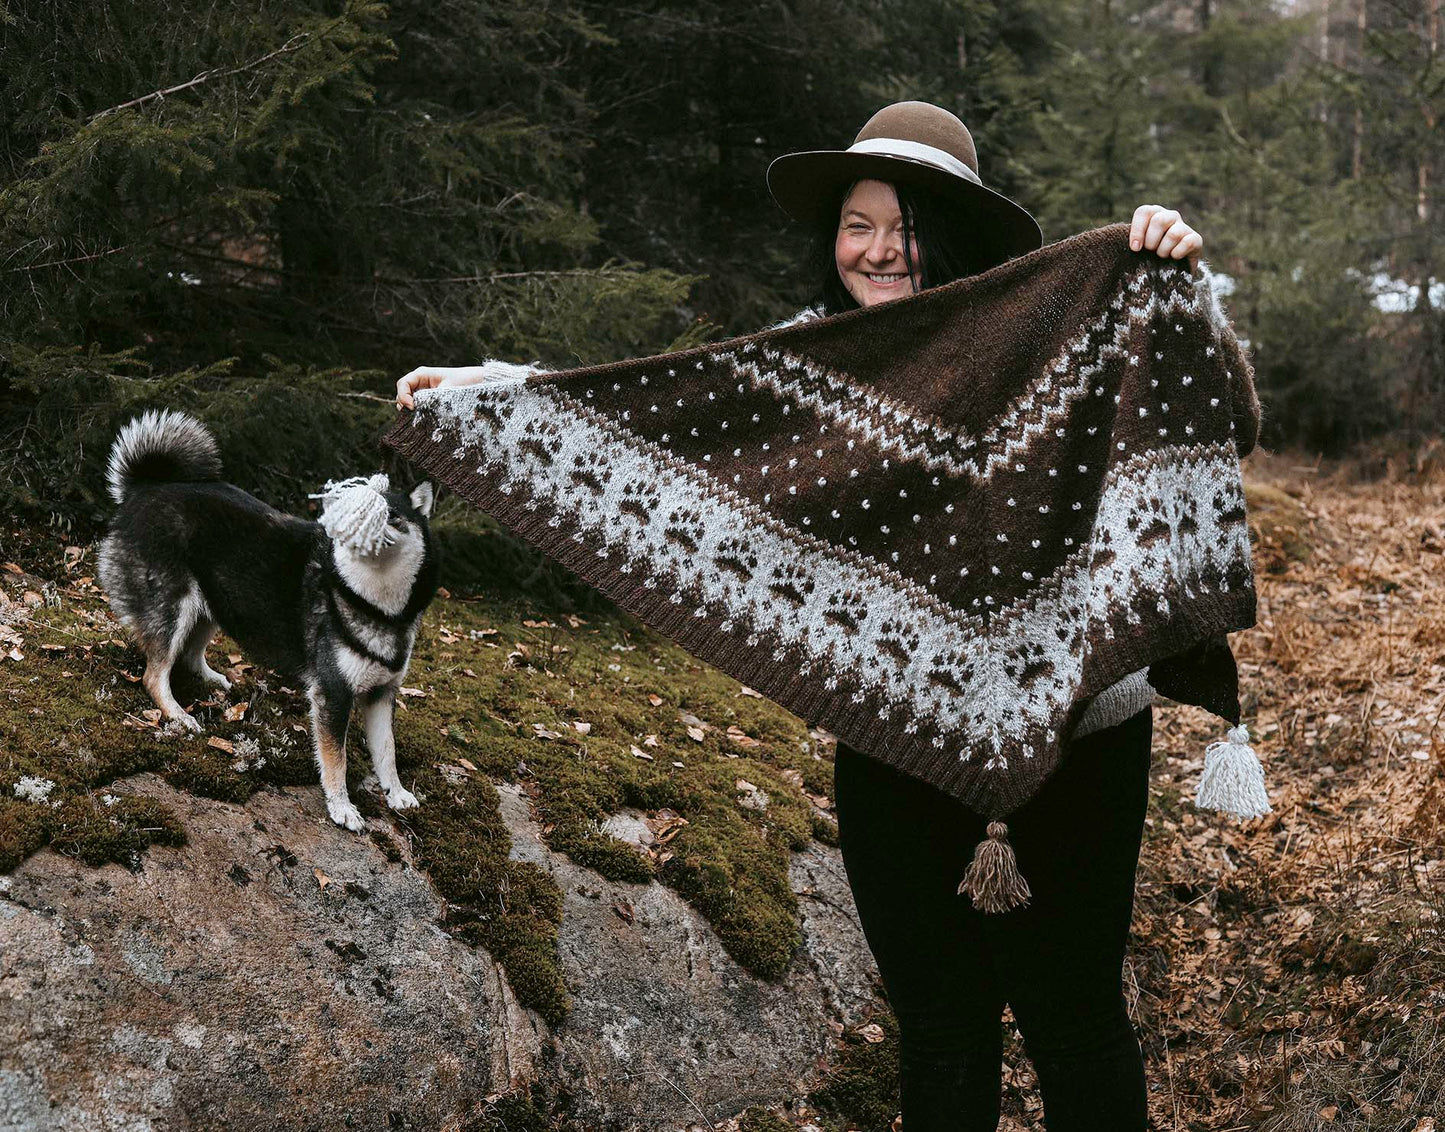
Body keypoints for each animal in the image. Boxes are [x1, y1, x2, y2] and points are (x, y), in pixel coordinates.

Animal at [97, 410, 439, 832]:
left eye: (392, 516)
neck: (377, 606)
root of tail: (146, 487)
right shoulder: (333, 694)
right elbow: (337, 760)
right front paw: (342, 807)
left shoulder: (381, 695)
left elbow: (387, 753)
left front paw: (397, 793)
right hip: (175, 607)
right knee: (154, 674)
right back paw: (177, 714)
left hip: (216, 601)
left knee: (190, 654)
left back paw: (212, 680)